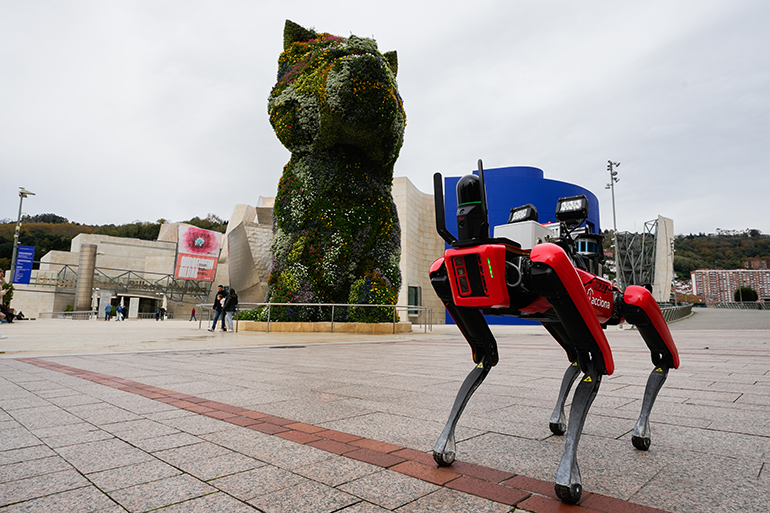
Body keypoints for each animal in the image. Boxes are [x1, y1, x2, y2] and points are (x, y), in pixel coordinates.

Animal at [428, 161, 676, 504]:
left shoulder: (553, 269)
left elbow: (599, 363)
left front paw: (568, 477)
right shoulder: (444, 278)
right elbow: (485, 357)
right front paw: (445, 445)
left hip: (612, 304)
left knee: (653, 341)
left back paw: (640, 430)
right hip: (554, 317)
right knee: (575, 356)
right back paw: (562, 419)